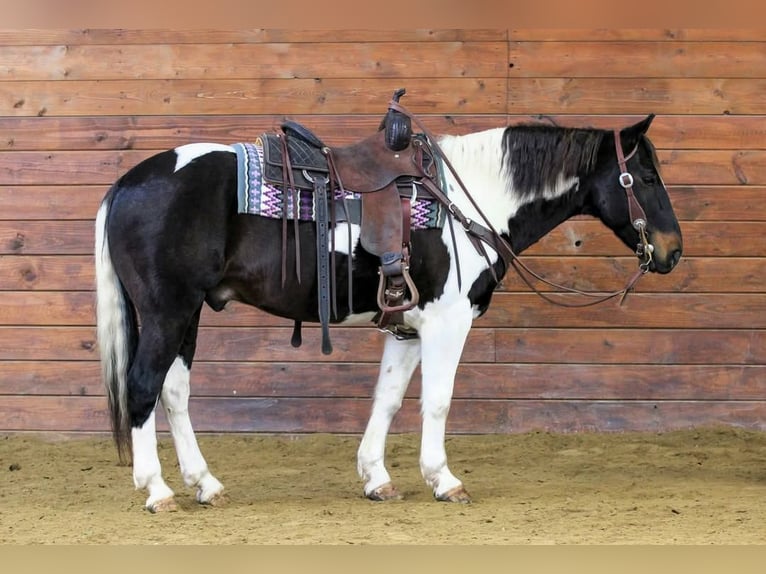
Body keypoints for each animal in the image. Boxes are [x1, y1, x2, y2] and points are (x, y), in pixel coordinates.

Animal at [95, 107, 683, 512]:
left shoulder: (407, 329)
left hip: (188, 313)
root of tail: (126, 183)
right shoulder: (448, 321)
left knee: (173, 391)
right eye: (645, 177)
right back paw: (157, 491)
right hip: (169, 311)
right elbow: (437, 403)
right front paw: (444, 480)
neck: (469, 201)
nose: (673, 251)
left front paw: (377, 478)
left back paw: (205, 484)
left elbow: (389, 399)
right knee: (144, 387)